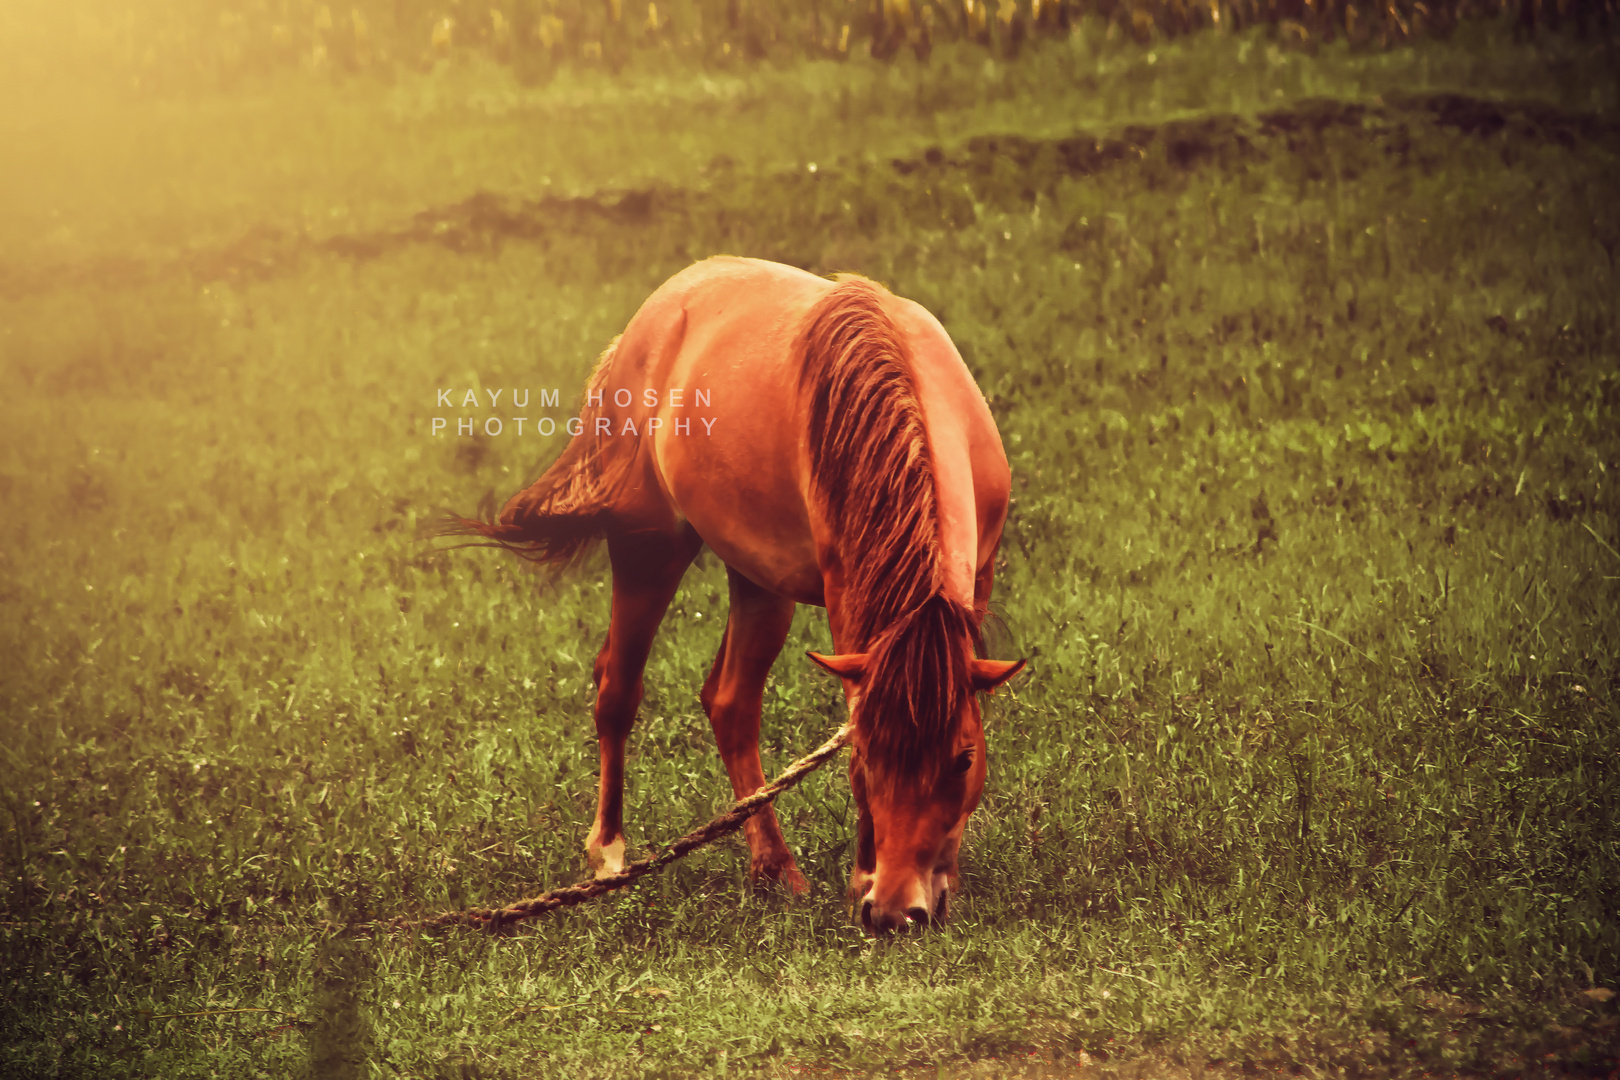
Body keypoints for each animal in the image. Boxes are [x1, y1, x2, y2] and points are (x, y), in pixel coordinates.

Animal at [450, 257, 1017, 932]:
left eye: (963, 759)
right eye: (867, 754)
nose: (895, 912)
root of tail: (653, 316)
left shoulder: (975, 584)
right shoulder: (848, 597)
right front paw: (863, 877)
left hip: (759, 580)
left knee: (730, 705)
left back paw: (773, 867)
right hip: (649, 549)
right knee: (618, 689)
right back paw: (610, 856)